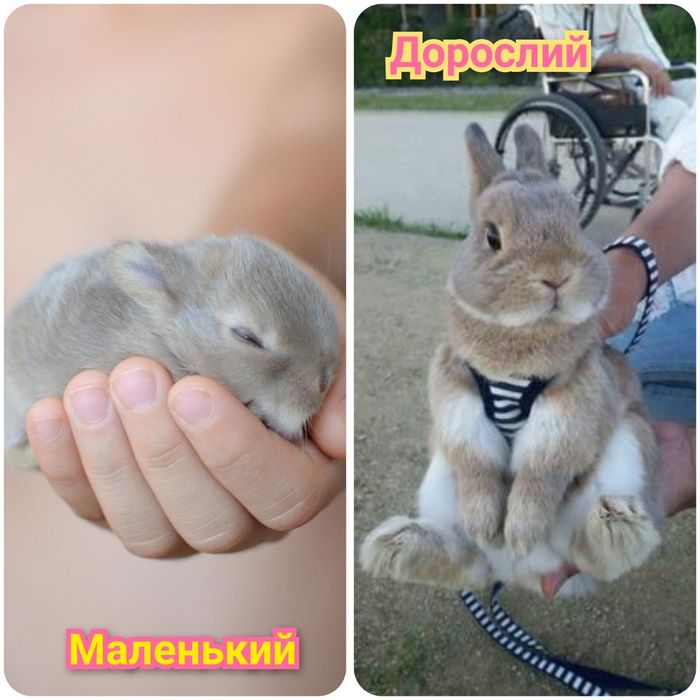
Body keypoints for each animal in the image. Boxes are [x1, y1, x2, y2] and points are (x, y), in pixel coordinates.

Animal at [361, 123, 663, 596]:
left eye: (575, 224)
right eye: (492, 237)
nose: (556, 274)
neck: (519, 345)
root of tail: (521, 572)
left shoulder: (572, 404)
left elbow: (541, 467)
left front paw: (519, 529)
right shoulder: (457, 398)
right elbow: (479, 463)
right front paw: (488, 525)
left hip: (628, 445)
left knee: (586, 551)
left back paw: (613, 527)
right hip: (439, 480)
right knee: (470, 561)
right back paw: (399, 545)